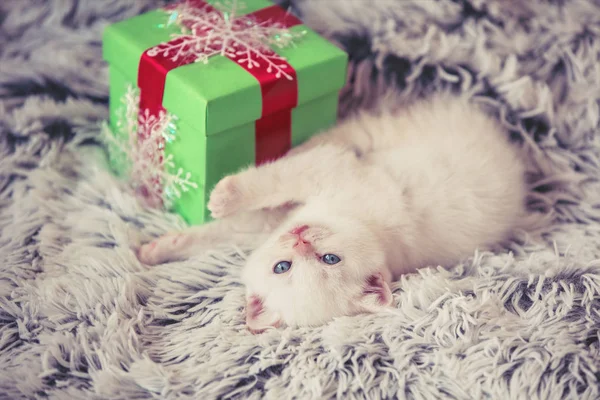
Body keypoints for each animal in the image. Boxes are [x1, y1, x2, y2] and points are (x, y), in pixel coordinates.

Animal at [139, 94, 536, 332]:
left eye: (329, 259)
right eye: (283, 267)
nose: (299, 240)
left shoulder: (331, 173)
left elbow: (273, 181)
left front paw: (222, 196)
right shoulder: (278, 215)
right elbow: (219, 228)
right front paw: (154, 250)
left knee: (333, 142)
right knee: (337, 138)